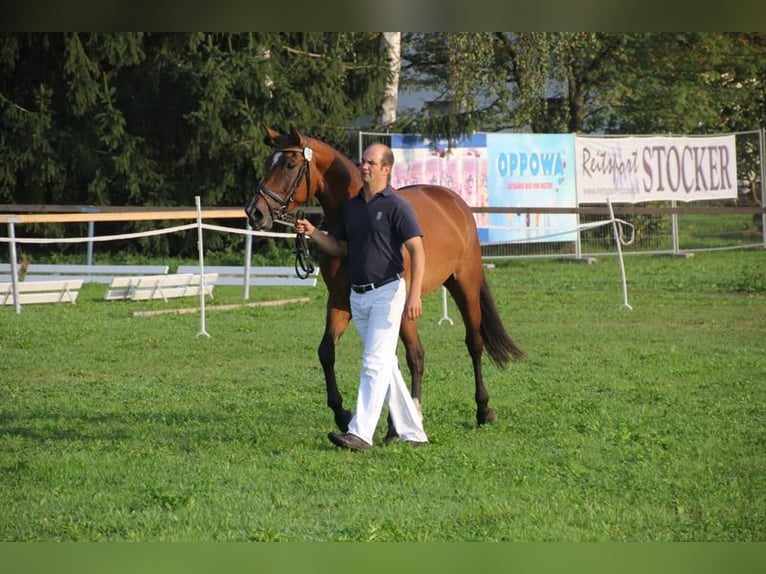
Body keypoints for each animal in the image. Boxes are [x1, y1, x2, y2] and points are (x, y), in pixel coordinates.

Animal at [245, 127, 524, 437]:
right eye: (269, 161)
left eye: (290, 164)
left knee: (473, 343)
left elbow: (414, 356)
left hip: (465, 286)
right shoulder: (340, 302)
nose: (255, 212)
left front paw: (402, 422)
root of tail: (454, 201)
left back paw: (483, 409)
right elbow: (327, 352)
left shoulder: (401, 308)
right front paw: (342, 414)